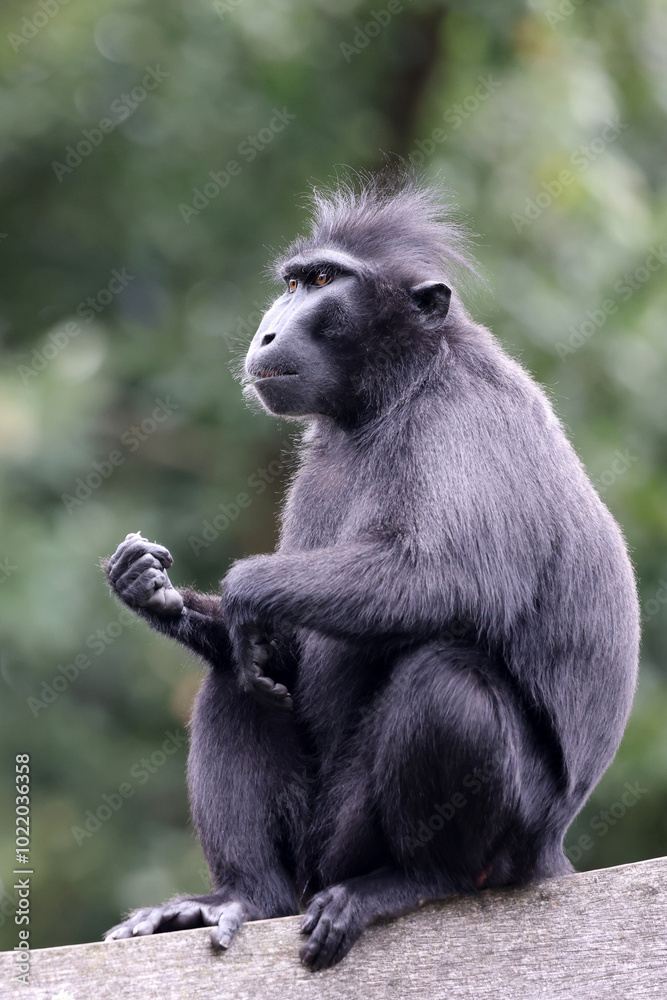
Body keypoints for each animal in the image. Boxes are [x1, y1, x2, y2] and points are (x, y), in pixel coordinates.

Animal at [102, 175, 639, 971]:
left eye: (325, 282)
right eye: (294, 283)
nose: (267, 332)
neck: (390, 395)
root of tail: (550, 852)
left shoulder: (463, 411)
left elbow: (452, 579)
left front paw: (245, 588)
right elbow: (274, 654)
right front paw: (152, 591)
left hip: (479, 832)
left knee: (442, 675)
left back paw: (417, 879)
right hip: (312, 844)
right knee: (237, 676)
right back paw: (242, 896)